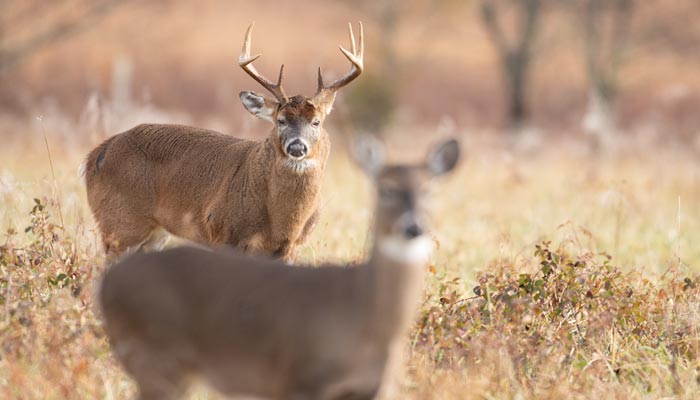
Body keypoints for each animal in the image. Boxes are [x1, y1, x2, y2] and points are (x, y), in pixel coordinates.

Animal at [83, 21, 360, 260]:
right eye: (280, 120)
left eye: (317, 122)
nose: (297, 146)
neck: (281, 223)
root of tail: (95, 156)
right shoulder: (224, 231)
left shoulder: (290, 248)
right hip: (120, 224)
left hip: (152, 235)